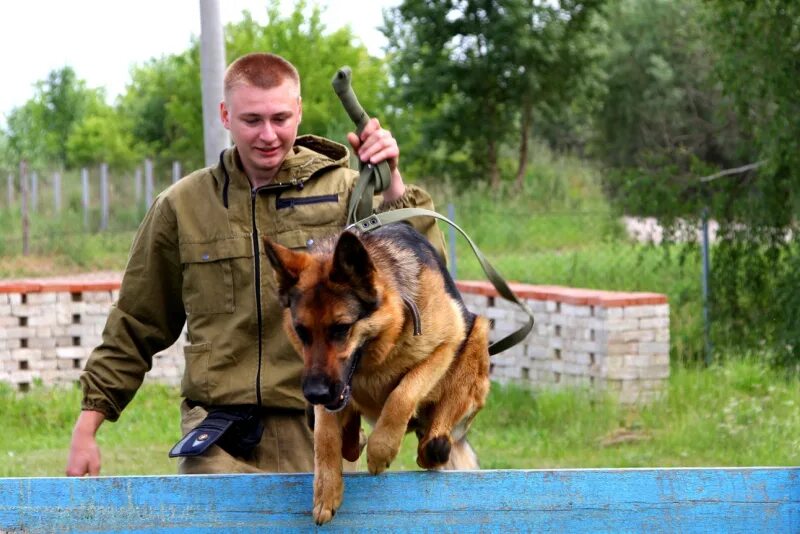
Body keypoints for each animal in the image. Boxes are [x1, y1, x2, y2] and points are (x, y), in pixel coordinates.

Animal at [266, 223, 490, 528]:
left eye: (341, 328)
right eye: (302, 332)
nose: (315, 394)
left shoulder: (447, 342)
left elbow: (402, 394)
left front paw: (380, 451)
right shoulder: (330, 391)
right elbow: (324, 435)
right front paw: (326, 489)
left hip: (477, 332)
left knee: (435, 445)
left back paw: (433, 444)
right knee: (344, 438)